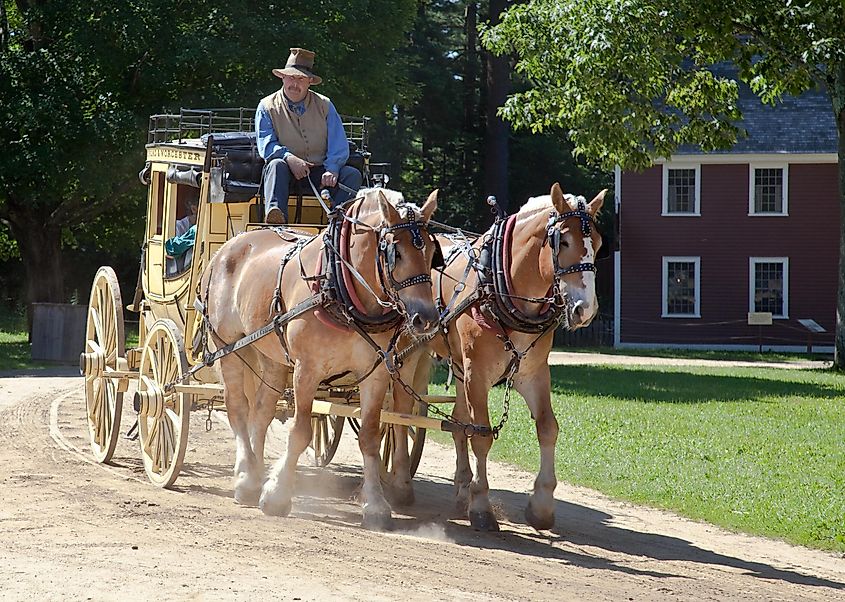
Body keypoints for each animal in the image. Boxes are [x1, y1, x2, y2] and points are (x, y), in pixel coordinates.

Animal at [200, 186, 438, 524]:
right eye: (396, 252)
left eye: (431, 252)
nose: (426, 318)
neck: (342, 289)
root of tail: (227, 248)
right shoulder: (307, 370)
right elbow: (300, 431)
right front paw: (277, 495)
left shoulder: (376, 372)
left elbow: (369, 436)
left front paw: (375, 504)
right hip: (229, 346)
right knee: (237, 407)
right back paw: (246, 478)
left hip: (272, 354)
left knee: (261, 410)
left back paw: (256, 471)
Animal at [414, 182, 600, 528]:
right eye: (564, 241)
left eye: (598, 242)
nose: (585, 309)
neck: (500, 286)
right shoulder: (477, 374)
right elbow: (482, 436)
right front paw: (481, 506)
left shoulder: (533, 374)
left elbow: (548, 427)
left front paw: (541, 504)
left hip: (459, 368)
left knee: (458, 423)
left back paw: (462, 489)